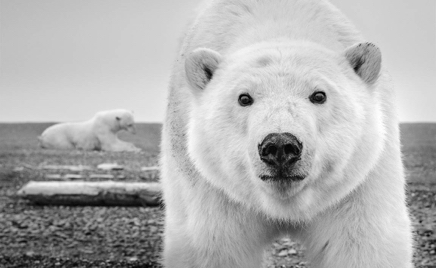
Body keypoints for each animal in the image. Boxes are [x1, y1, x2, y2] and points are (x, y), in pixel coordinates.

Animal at [160, 0, 412, 268]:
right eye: (244, 98)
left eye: (319, 95)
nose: (280, 146)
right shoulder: (212, 190)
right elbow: (214, 248)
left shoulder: (359, 185)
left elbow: (364, 245)